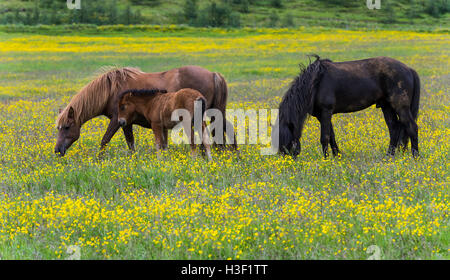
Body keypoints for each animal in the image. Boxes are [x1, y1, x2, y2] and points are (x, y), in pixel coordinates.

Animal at [54, 66, 234, 158]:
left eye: (67, 127)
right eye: (58, 128)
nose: (57, 150)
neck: (111, 90)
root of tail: (213, 74)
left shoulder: (118, 120)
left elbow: (106, 140)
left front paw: (99, 160)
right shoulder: (126, 123)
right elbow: (130, 143)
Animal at [276, 55, 420, 159]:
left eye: (285, 142)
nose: (286, 162)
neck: (315, 83)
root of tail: (408, 69)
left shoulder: (326, 111)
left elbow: (324, 138)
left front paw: (326, 160)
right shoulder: (322, 115)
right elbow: (332, 137)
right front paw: (337, 157)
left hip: (400, 107)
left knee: (411, 127)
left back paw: (416, 157)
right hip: (387, 107)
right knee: (394, 129)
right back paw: (389, 157)